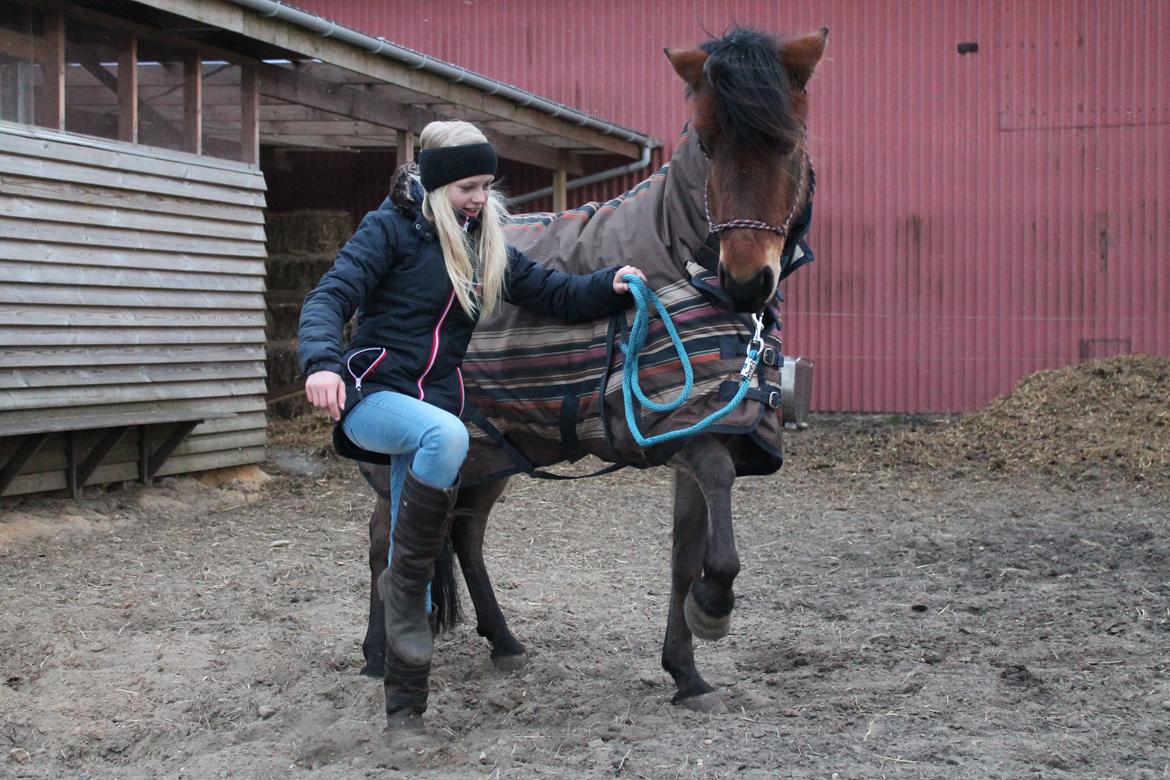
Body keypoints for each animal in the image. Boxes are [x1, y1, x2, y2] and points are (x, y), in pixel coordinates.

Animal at [353, 24, 823, 720]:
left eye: (789, 142)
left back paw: (503, 642)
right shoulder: (678, 431)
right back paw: (377, 654)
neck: (681, 261)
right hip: (412, 455)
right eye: (707, 144)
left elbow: (685, 555)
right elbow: (714, 527)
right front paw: (713, 609)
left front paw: (686, 672)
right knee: (383, 540)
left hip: (492, 451)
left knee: (463, 535)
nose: (746, 280)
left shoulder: (707, 428)